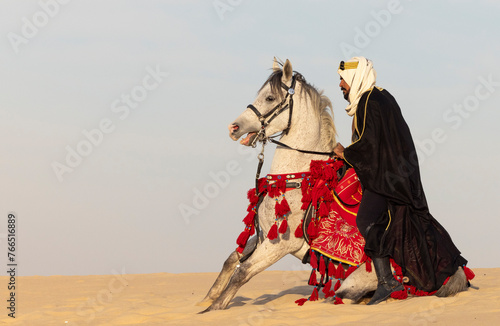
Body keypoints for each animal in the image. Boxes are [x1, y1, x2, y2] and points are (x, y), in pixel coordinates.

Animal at [200, 58, 468, 310]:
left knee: (350, 295)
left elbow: (242, 273)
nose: (233, 128)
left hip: (353, 282)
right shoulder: (264, 236)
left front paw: (214, 309)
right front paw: (204, 301)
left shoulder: (281, 244)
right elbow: (231, 260)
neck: (298, 178)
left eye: (269, 97)